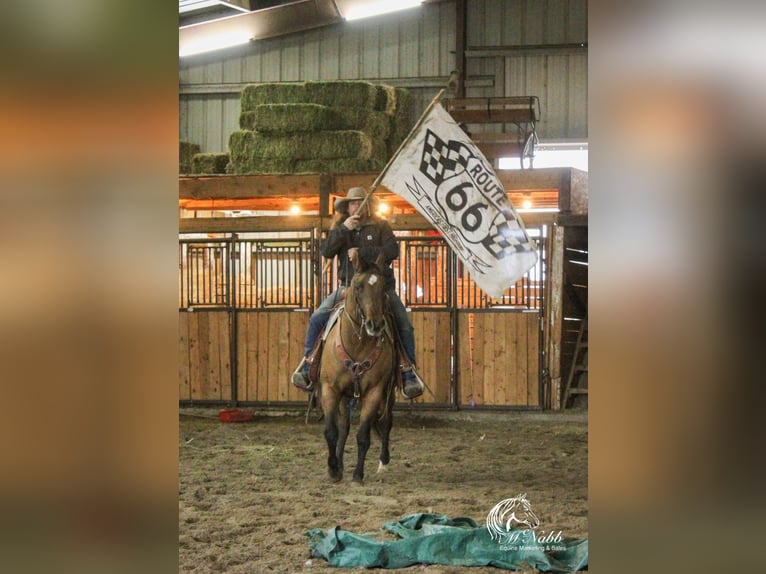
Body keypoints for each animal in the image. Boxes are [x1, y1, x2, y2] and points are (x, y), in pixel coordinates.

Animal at [318, 254, 396, 484]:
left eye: (382, 287)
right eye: (358, 286)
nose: (374, 325)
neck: (357, 344)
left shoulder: (374, 392)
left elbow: (363, 436)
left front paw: (357, 475)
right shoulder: (330, 389)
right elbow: (332, 432)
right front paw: (334, 469)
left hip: (389, 392)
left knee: (386, 422)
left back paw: (383, 462)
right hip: (346, 396)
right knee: (344, 427)